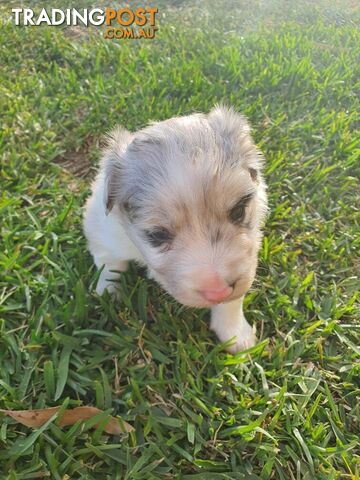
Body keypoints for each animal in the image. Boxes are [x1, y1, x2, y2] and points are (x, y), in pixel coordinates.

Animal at [83, 106, 268, 352]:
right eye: (158, 234)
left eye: (238, 211)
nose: (218, 291)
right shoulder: (103, 232)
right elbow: (110, 266)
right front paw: (107, 294)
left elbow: (232, 302)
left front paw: (236, 335)